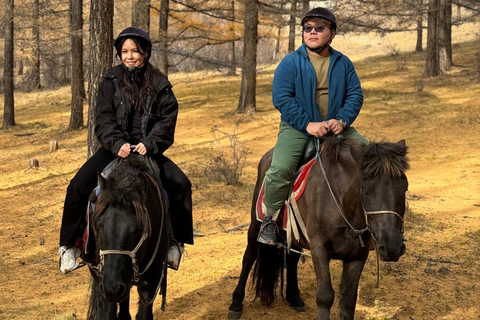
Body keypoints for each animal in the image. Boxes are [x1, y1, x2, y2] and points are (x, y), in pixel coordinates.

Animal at [84, 154, 171, 318]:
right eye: (98, 226)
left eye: (138, 229)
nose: (113, 288)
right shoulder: (103, 281)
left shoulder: (153, 277)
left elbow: (144, 314)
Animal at [229, 136, 408, 320]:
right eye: (366, 191)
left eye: (404, 189)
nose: (392, 247)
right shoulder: (319, 249)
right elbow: (325, 296)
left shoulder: (358, 256)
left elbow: (348, 301)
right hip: (256, 224)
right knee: (249, 256)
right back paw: (236, 303)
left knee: (292, 259)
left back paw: (294, 298)